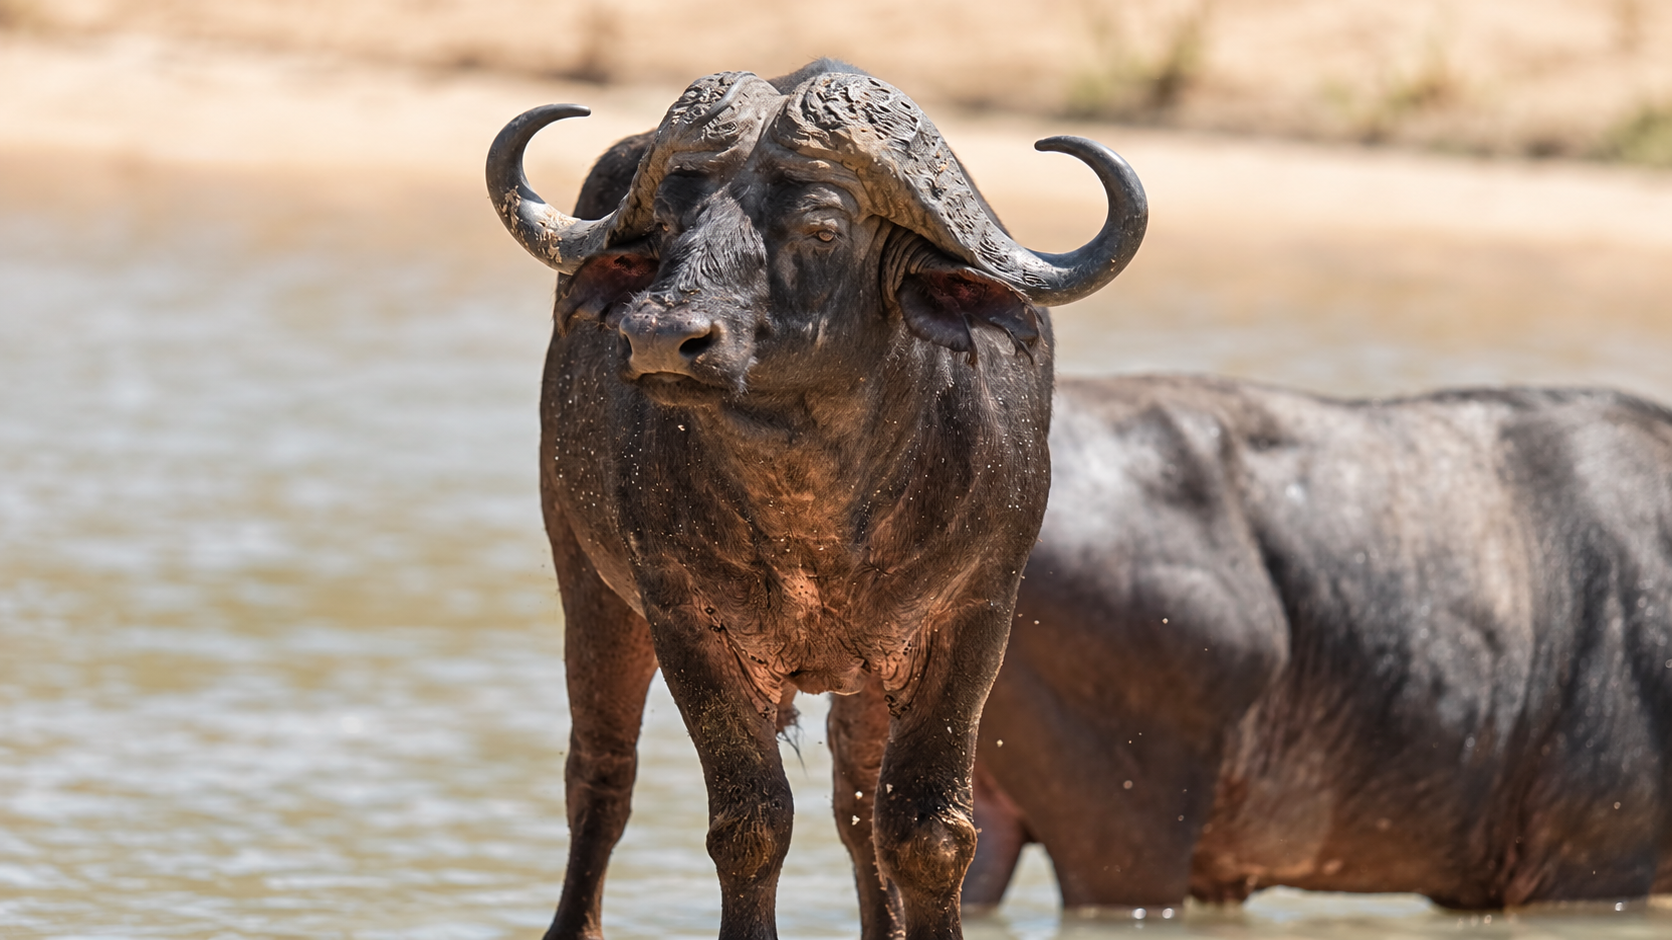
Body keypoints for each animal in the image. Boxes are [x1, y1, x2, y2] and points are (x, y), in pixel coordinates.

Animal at [485, 61, 1146, 938]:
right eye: (668, 221)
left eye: (822, 228)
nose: (659, 334)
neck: (814, 509)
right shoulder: (682, 620)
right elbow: (750, 822)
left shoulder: (977, 614)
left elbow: (927, 829)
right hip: (588, 582)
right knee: (599, 777)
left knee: (859, 801)